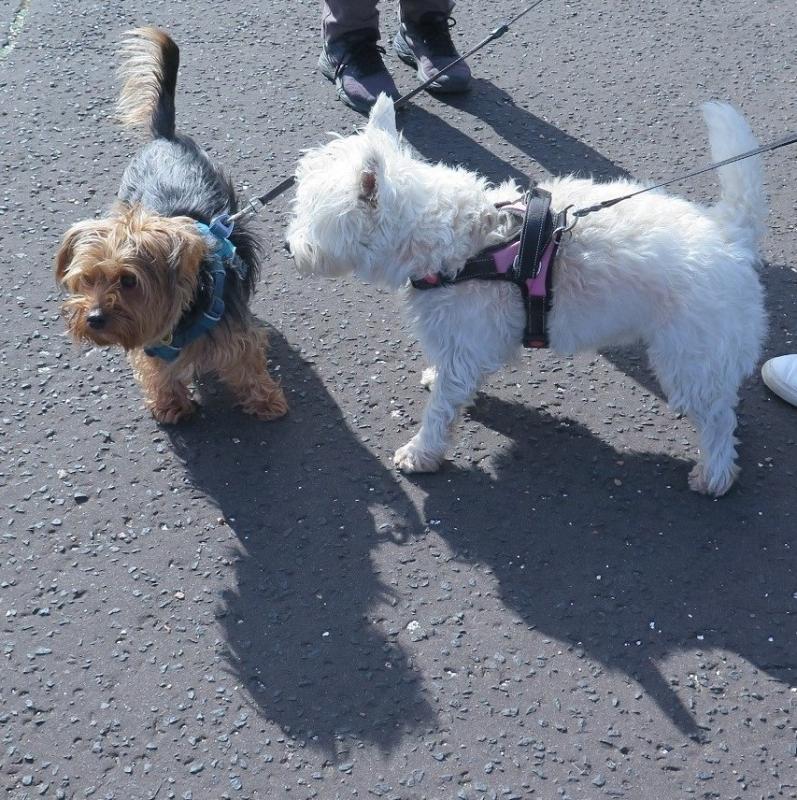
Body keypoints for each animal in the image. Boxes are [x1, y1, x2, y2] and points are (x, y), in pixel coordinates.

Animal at [55, 28, 287, 425]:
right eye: (86, 279)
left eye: (129, 280)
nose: (95, 318)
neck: (182, 314)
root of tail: (164, 137)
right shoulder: (150, 341)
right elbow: (157, 371)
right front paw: (170, 404)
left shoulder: (235, 333)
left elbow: (248, 365)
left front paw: (266, 401)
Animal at [286, 95, 767, 496]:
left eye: (311, 211)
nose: (289, 247)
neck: (458, 242)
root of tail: (729, 235)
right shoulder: (462, 342)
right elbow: (447, 383)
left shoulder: (464, 344)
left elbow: (441, 410)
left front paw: (421, 453)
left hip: (690, 359)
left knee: (719, 420)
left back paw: (713, 476)